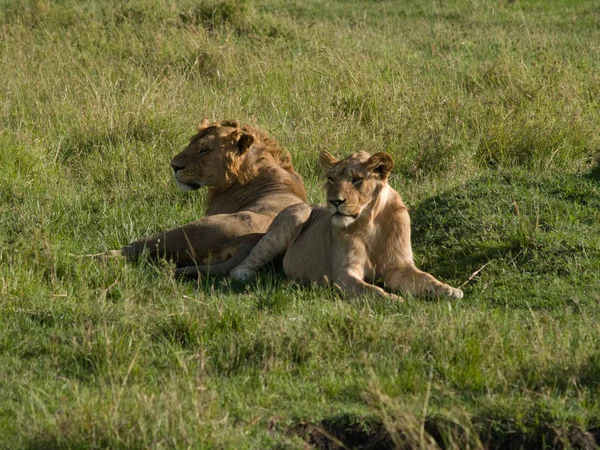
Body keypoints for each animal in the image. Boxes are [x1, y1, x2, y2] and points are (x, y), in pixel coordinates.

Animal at [99, 118, 304, 272]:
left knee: (134, 248)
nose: (174, 166)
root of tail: (250, 242)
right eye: (190, 144)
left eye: (204, 149)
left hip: (191, 230)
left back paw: (97, 257)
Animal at [229, 149, 464, 300]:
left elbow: (426, 278)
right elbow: (372, 291)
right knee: (249, 260)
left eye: (356, 179)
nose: (335, 202)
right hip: (295, 217)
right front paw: (393, 300)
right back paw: (245, 274)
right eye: (331, 179)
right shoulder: (345, 274)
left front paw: (450, 290)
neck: (370, 223)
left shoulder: (398, 266)